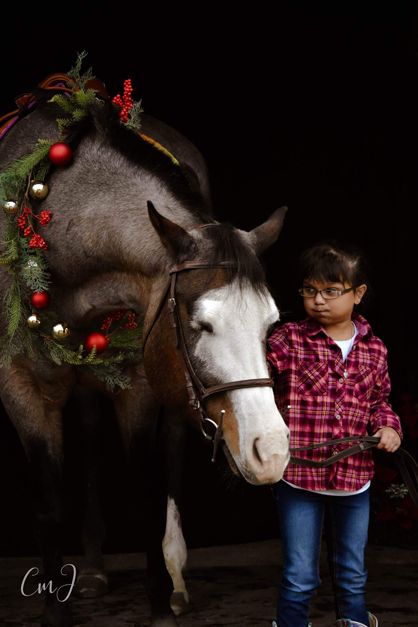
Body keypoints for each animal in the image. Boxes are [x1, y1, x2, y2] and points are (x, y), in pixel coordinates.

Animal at [0, 84, 290, 627]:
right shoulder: (22, 388)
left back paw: (174, 575)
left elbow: (149, 493)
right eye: (202, 324)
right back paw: (93, 569)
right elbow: (49, 507)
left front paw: (159, 600)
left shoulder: (138, 382)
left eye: (270, 324)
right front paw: (54, 609)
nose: (274, 451)